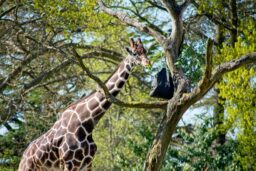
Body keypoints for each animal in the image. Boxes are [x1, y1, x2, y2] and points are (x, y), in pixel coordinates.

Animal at [19, 38, 151, 170]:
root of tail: (24, 156)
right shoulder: (69, 164)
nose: (148, 63)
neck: (87, 122)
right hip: (27, 168)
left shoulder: (87, 163)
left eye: (145, 51)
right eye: (134, 53)